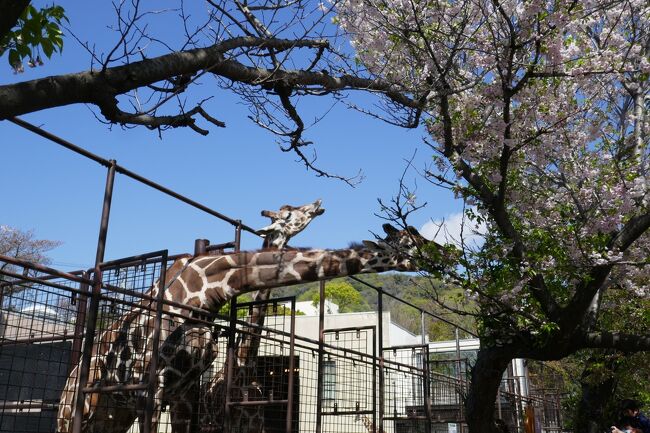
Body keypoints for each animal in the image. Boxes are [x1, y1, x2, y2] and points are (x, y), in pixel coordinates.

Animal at [58, 221, 428, 430]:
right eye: (413, 240)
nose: (438, 254)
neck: (205, 290)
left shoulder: (185, 397)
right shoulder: (152, 391)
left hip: (111, 415)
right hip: (75, 409)